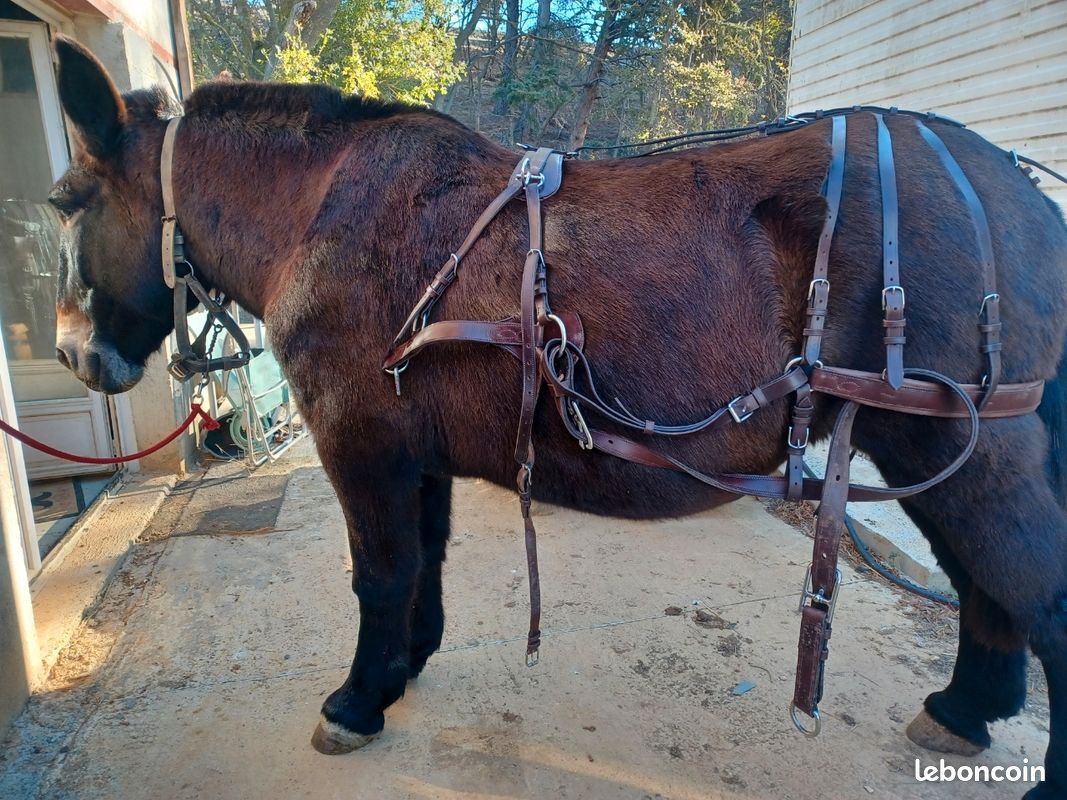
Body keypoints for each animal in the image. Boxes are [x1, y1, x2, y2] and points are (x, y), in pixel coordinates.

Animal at [46, 36, 1067, 798]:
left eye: (67, 201)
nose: (69, 356)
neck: (322, 210)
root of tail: (1018, 189)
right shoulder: (413, 453)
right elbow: (422, 564)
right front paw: (404, 668)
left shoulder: (359, 442)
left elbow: (377, 575)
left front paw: (356, 701)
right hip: (934, 446)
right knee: (983, 583)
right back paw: (965, 707)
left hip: (958, 443)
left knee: (1028, 589)